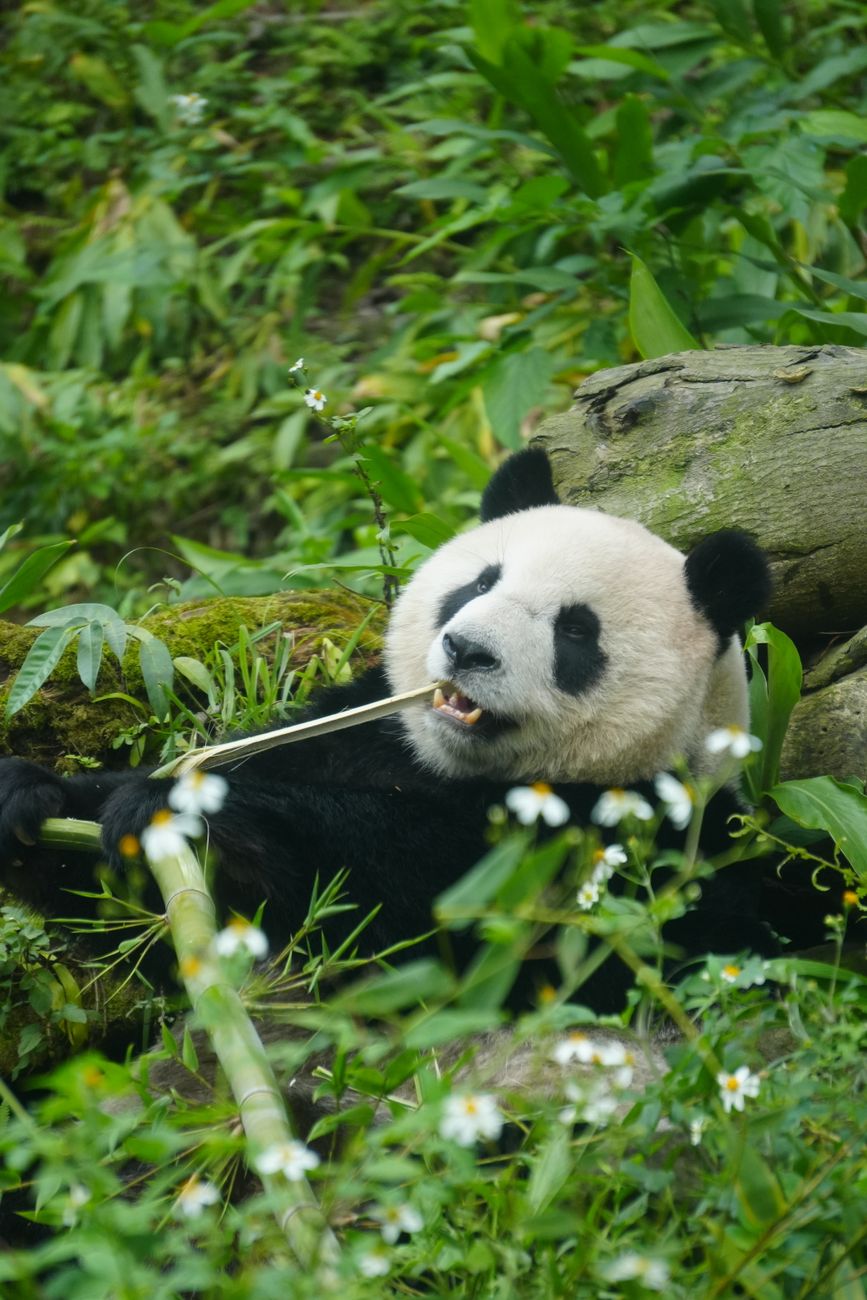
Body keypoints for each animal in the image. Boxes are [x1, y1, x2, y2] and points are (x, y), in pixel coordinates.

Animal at [0, 448, 781, 1012]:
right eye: (480, 583)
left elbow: (411, 898)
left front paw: (192, 814)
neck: (454, 766)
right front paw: (30, 794)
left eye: (575, 631)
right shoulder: (359, 736)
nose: (468, 650)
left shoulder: (608, 835)